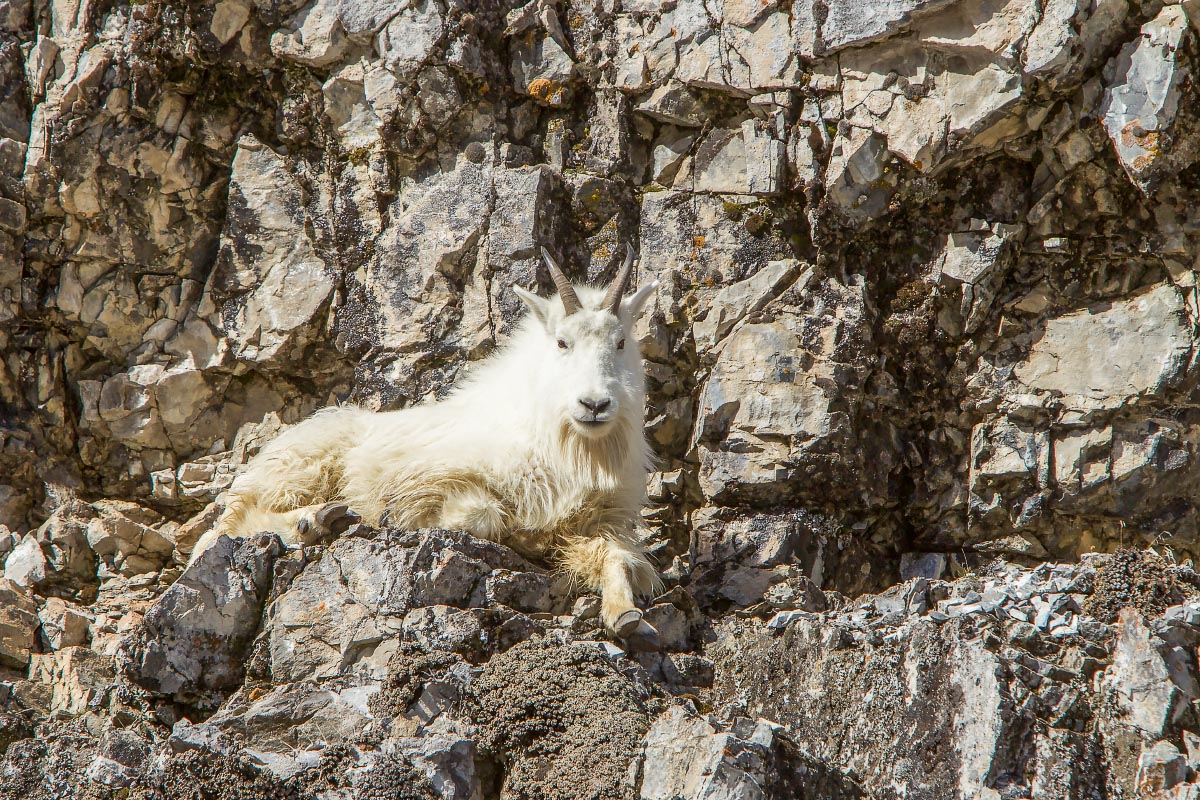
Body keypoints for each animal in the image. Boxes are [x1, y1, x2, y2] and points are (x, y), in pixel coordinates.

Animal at [196, 248, 667, 638]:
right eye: (562, 342)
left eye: (620, 342)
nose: (594, 404)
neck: (564, 444)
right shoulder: (436, 474)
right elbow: (480, 514)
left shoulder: (596, 521)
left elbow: (614, 556)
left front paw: (625, 613)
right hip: (297, 468)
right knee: (225, 530)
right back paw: (313, 520)